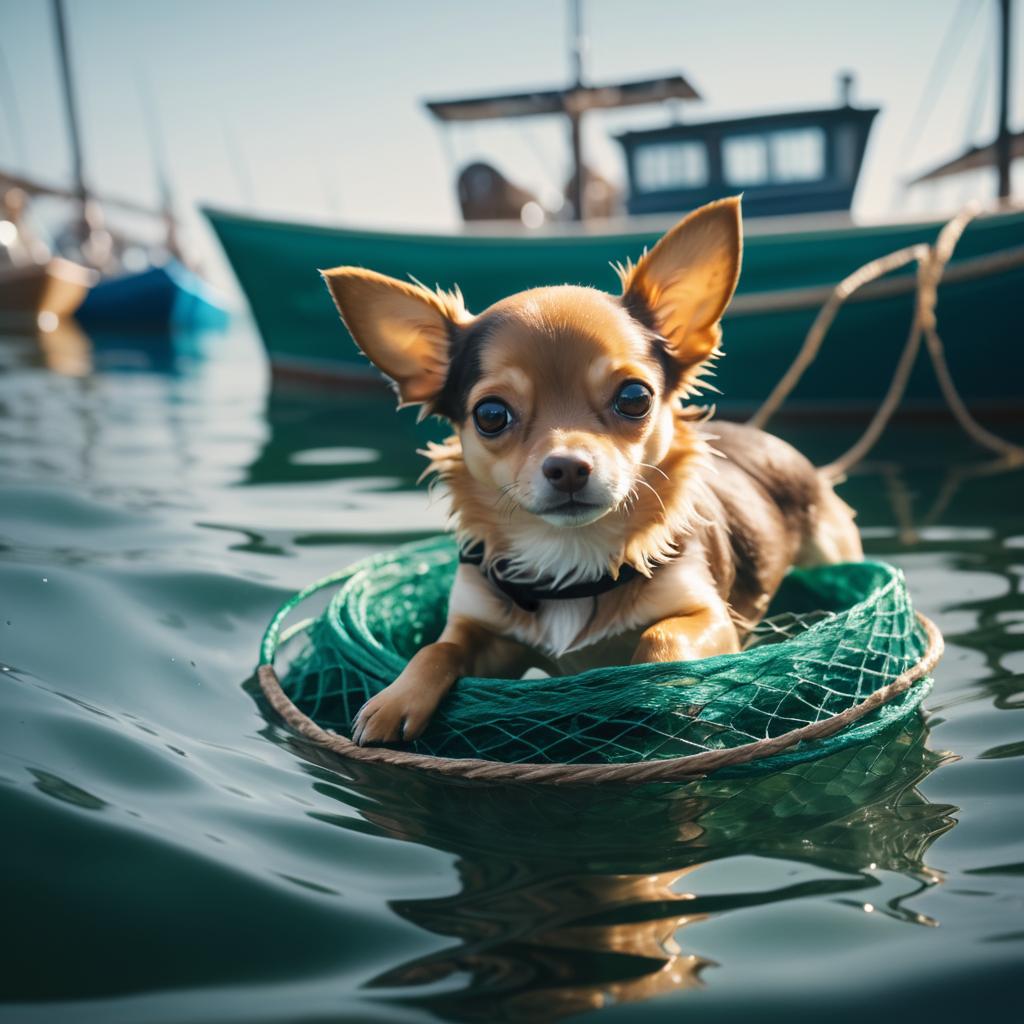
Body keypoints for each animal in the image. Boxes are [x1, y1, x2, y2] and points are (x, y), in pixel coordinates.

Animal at [323, 197, 860, 745]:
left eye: (635, 397)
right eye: (490, 414)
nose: (567, 467)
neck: (570, 553)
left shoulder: (708, 614)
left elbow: (661, 636)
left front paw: (655, 691)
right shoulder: (483, 630)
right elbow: (437, 649)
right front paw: (394, 699)